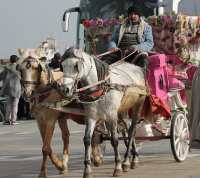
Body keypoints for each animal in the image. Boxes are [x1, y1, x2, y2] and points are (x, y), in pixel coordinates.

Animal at [17, 48, 102, 177]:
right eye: (21, 69)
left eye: (35, 68)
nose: (27, 92)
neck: (45, 91)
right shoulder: (40, 121)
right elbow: (47, 147)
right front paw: (59, 165)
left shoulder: (50, 120)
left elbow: (45, 148)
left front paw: (45, 171)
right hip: (62, 117)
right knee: (66, 136)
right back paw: (65, 162)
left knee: (95, 132)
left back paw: (96, 157)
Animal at [61, 47, 147, 178]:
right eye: (62, 66)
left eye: (76, 66)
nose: (65, 89)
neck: (102, 87)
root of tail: (137, 68)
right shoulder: (91, 117)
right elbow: (87, 139)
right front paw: (87, 169)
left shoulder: (112, 116)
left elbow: (114, 140)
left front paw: (117, 167)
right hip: (122, 109)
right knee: (127, 128)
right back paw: (132, 157)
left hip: (138, 104)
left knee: (132, 131)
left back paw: (128, 161)